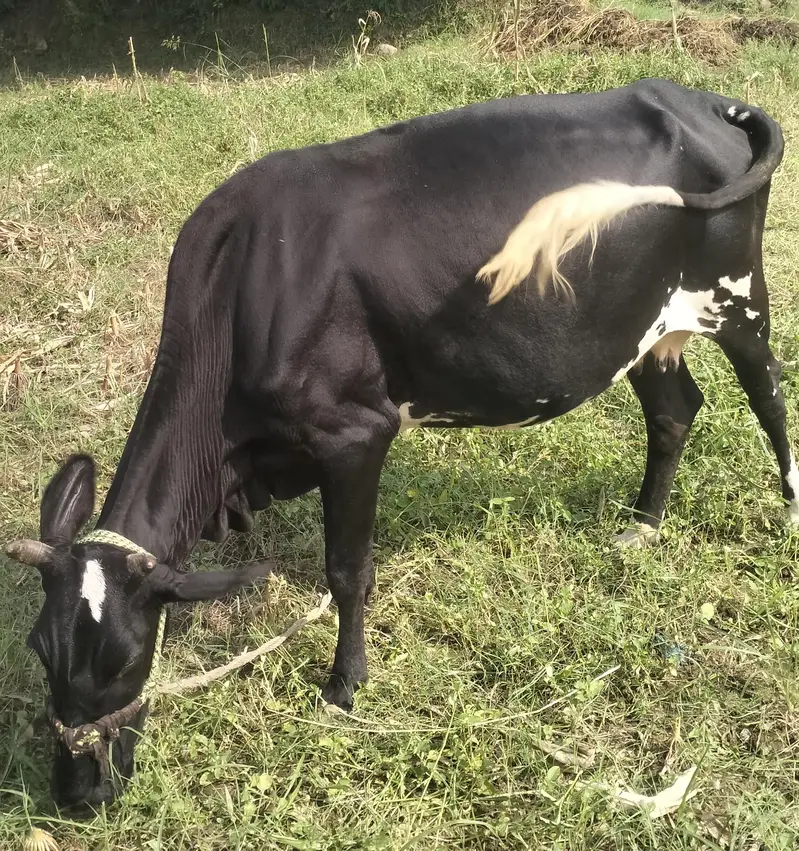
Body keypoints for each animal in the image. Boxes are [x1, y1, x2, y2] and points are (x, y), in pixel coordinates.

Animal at [6, 77, 796, 812]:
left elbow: (348, 570)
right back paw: (642, 526)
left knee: (768, 393)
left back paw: (788, 508)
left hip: (738, 296)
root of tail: (700, 99)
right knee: (674, 412)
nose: (77, 793)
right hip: (646, 328)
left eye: (123, 659)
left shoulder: (354, 431)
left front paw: (343, 686)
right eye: (40, 648)